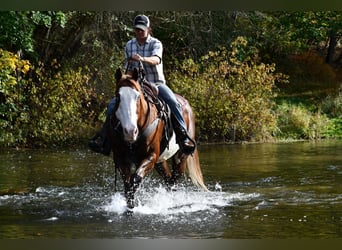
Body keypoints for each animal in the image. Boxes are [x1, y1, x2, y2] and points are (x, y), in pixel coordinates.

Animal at [108, 67, 207, 212]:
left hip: (180, 156)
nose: (130, 132)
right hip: (160, 161)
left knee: (174, 180)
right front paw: (130, 207)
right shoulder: (120, 159)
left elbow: (135, 179)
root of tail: (187, 104)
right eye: (117, 96)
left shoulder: (151, 156)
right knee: (168, 179)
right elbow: (127, 186)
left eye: (138, 96)